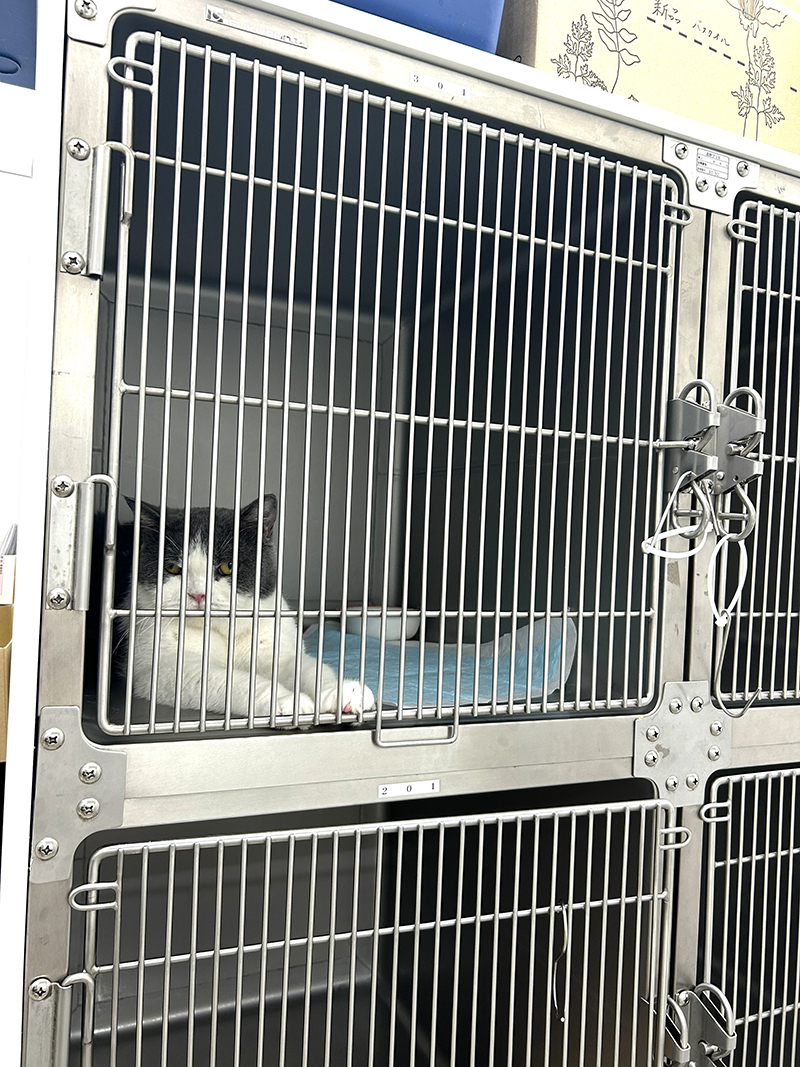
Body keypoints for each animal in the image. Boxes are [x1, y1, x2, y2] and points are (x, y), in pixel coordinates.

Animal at [121, 494, 375, 723]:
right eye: (172, 568)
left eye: (227, 566)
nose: (197, 594)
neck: (227, 631)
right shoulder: (161, 669)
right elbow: (232, 680)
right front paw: (287, 700)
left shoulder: (277, 647)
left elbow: (307, 667)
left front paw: (344, 691)